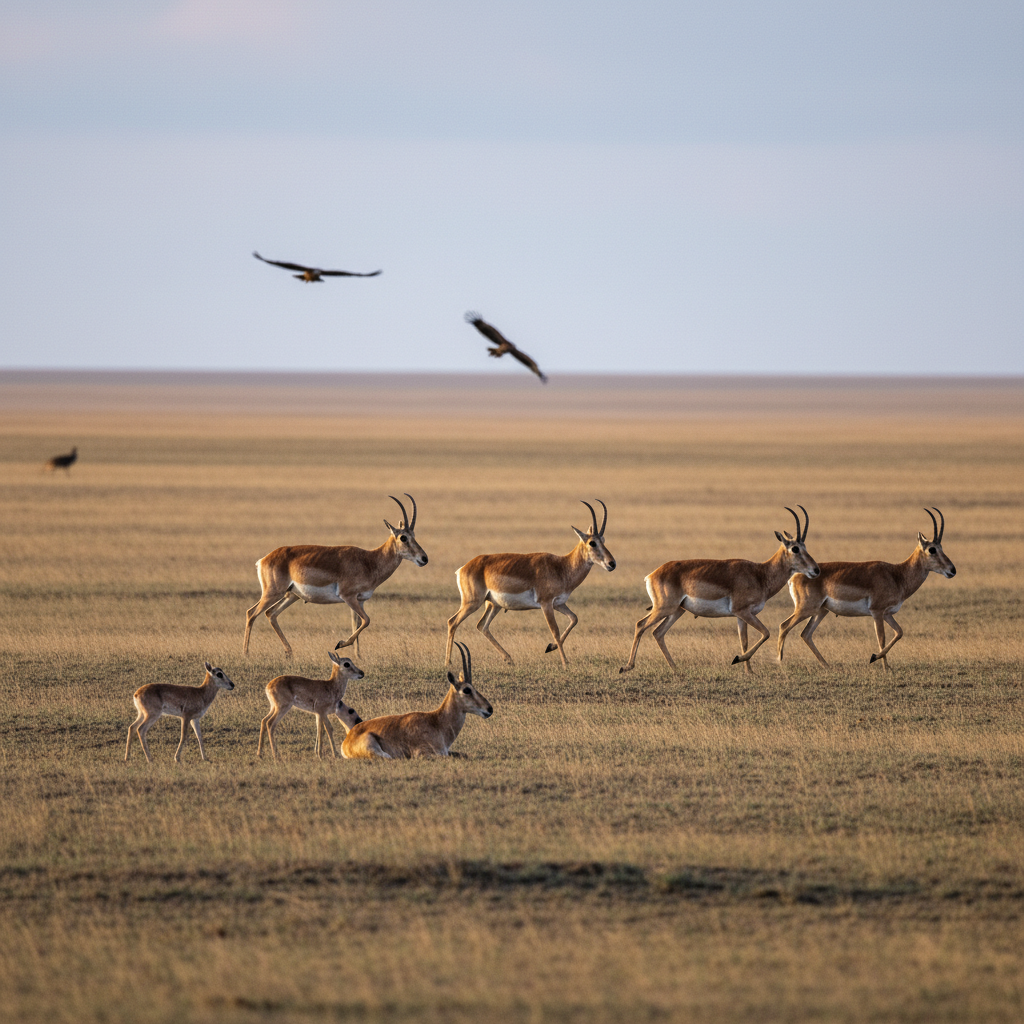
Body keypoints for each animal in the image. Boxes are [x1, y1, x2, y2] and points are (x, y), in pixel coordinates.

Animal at [243, 494, 427, 658]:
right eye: (403, 537)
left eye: (414, 536)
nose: (424, 558)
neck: (369, 561)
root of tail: (263, 559)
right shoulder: (348, 596)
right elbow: (367, 620)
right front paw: (340, 644)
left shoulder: (359, 600)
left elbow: (357, 623)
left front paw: (358, 655)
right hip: (273, 593)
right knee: (251, 613)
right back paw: (246, 654)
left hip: (291, 596)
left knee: (271, 614)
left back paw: (289, 653)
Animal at [445, 500, 616, 668]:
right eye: (592, 543)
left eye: (603, 540)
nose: (612, 563)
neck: (562, 567)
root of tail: (463, 568)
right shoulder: (546, 603)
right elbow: (555, 630)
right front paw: (565, 663)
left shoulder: (558, 603)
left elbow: (574, 618)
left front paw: (550, 647)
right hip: (473, 603)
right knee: (452, 622)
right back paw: (448, 662)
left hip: (494, 605)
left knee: (482, 626)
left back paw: (508, 659)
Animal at [620, 506, 819, 675]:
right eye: (795, 548)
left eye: (805, 547)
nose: (816, 570)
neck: (760, 574)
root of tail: (652, 574)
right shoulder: (742, 611)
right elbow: (766, 632)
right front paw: (737, 659)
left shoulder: (741, 616)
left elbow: (744, 640)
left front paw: (749, 671)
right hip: (664, 609)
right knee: (641, 625)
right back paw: (627, 667)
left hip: (677, 611)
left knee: (658, 633)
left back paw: (676, 669)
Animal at [777, 508, 956, 670]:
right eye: (932, 549)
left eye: (941, 547)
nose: (952, 570)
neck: (897, 575)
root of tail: (794, 576)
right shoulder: (877, 611)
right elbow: (881, 638)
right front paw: (880, 663)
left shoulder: (887, 613)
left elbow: (899, 632)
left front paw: (881, 662)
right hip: (806, 609)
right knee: (784, 626)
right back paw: (779, 661)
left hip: (821, 611)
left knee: (806, 634)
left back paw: (827, 666)